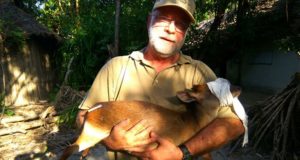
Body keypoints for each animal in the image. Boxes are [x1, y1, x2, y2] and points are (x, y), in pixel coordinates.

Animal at [60, 79, 241, 159]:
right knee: (70, 148)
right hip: (94, 133)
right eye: (212, 90)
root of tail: (92, 110)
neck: (190, 123)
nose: (238, 88)